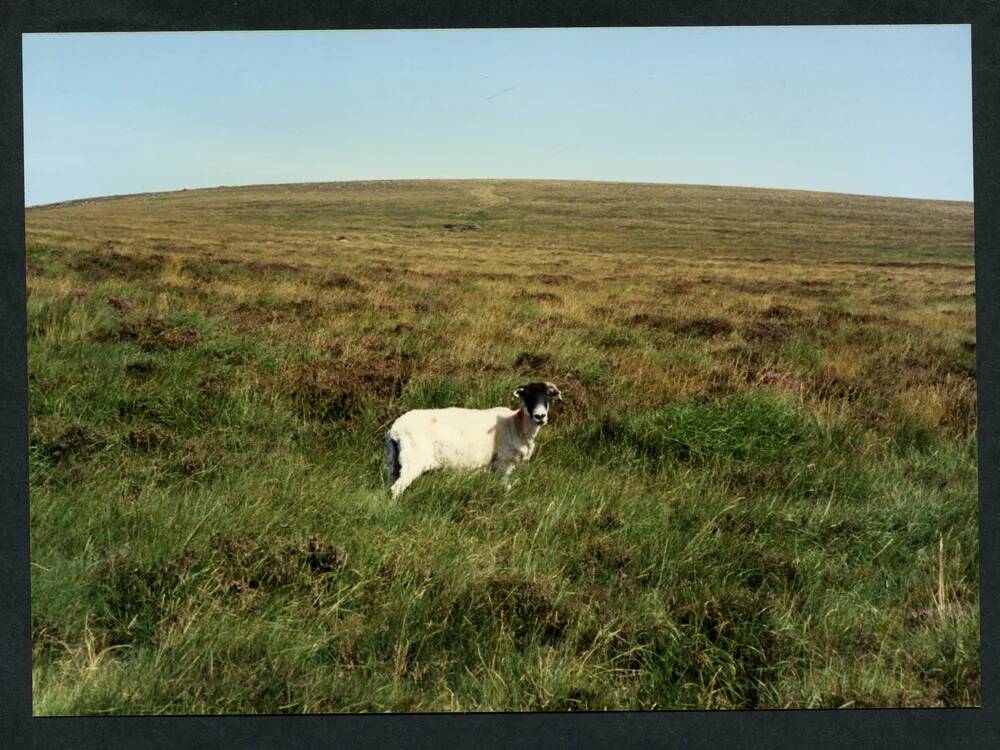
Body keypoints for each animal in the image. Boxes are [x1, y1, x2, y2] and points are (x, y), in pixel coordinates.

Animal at [384, 382, 564, 500]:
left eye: (547, 396)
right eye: (527, 395)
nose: (540, 416)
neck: (516, 424)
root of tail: (395, 430)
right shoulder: (503, 465)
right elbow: (506, 488)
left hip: (394, 463)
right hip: (413, 461)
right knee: (396, 489)